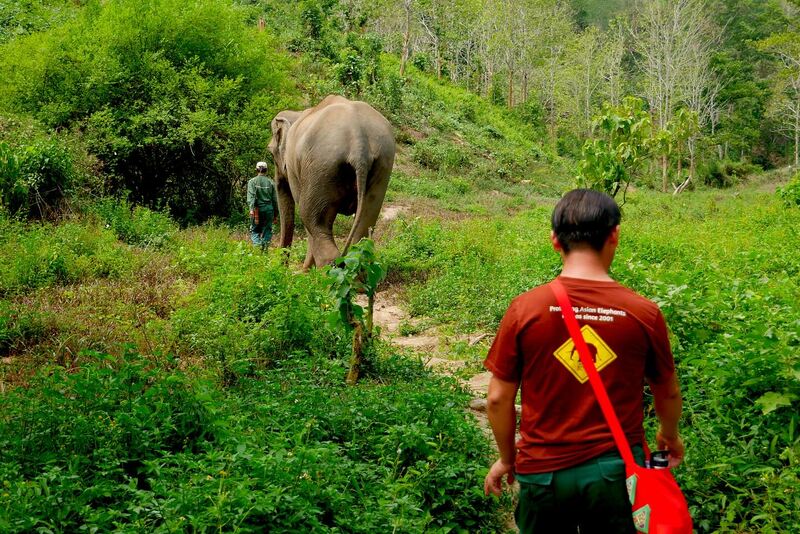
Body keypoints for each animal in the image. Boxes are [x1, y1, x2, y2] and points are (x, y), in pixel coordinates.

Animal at [268, 96, 396, 270]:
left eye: (270, 153)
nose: (283, 267)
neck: (298, 113)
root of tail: (359, 141)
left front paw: (305, 271)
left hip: (321, 165)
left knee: (311, 219)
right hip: (383, 164)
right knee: (363, 232)